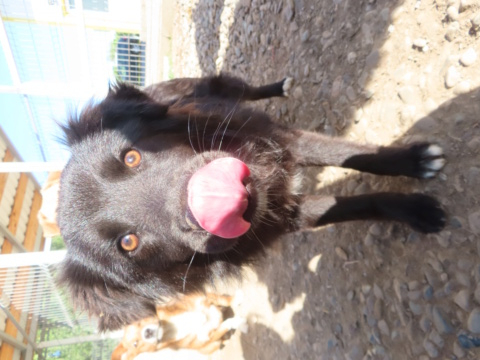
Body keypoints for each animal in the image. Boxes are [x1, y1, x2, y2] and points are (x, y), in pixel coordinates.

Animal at [57, 74, 446, 330]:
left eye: (131, 157)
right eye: (128, 243)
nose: (215, 197)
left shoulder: (283, 140)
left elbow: (351, 155)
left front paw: (414, 161)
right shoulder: (287, 217)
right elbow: (348, 206)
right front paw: (415, 210)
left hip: (213, 88)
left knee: (239, 87)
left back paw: (278, 87)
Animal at [111, 294, 244, 358]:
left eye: (139, 323)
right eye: (135, 344)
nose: (147, 333)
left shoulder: (204, 297)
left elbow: (223, 299)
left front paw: (236, 299)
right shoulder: (209, 337)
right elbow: (224, 326)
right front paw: (236, 321)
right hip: (212, 346)